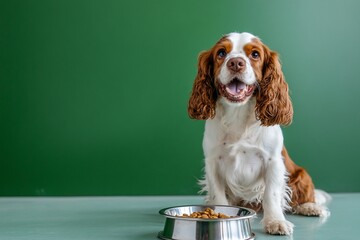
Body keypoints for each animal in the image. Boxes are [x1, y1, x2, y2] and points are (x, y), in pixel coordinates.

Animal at [187, 31, 330, 234]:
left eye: (255, 54)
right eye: (221, 53)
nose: (236, 63)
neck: (238, 113)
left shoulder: (273, 161)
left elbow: (271, 194)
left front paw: (275, 222)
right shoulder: (213, 162)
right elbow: (218, 196)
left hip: (301, 174)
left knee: (304, 195)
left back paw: (310, 207)